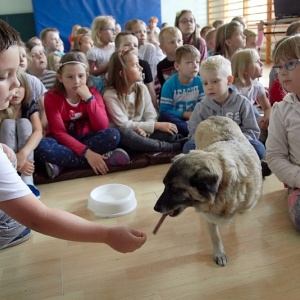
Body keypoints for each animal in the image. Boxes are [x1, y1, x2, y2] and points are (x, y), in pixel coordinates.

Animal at [154, 116, 262, 266]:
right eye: (164, 186)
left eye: (174, 189)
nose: (155, 208)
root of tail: (215, 117)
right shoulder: (210, 216)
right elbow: (215, 236)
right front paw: (219, 253)